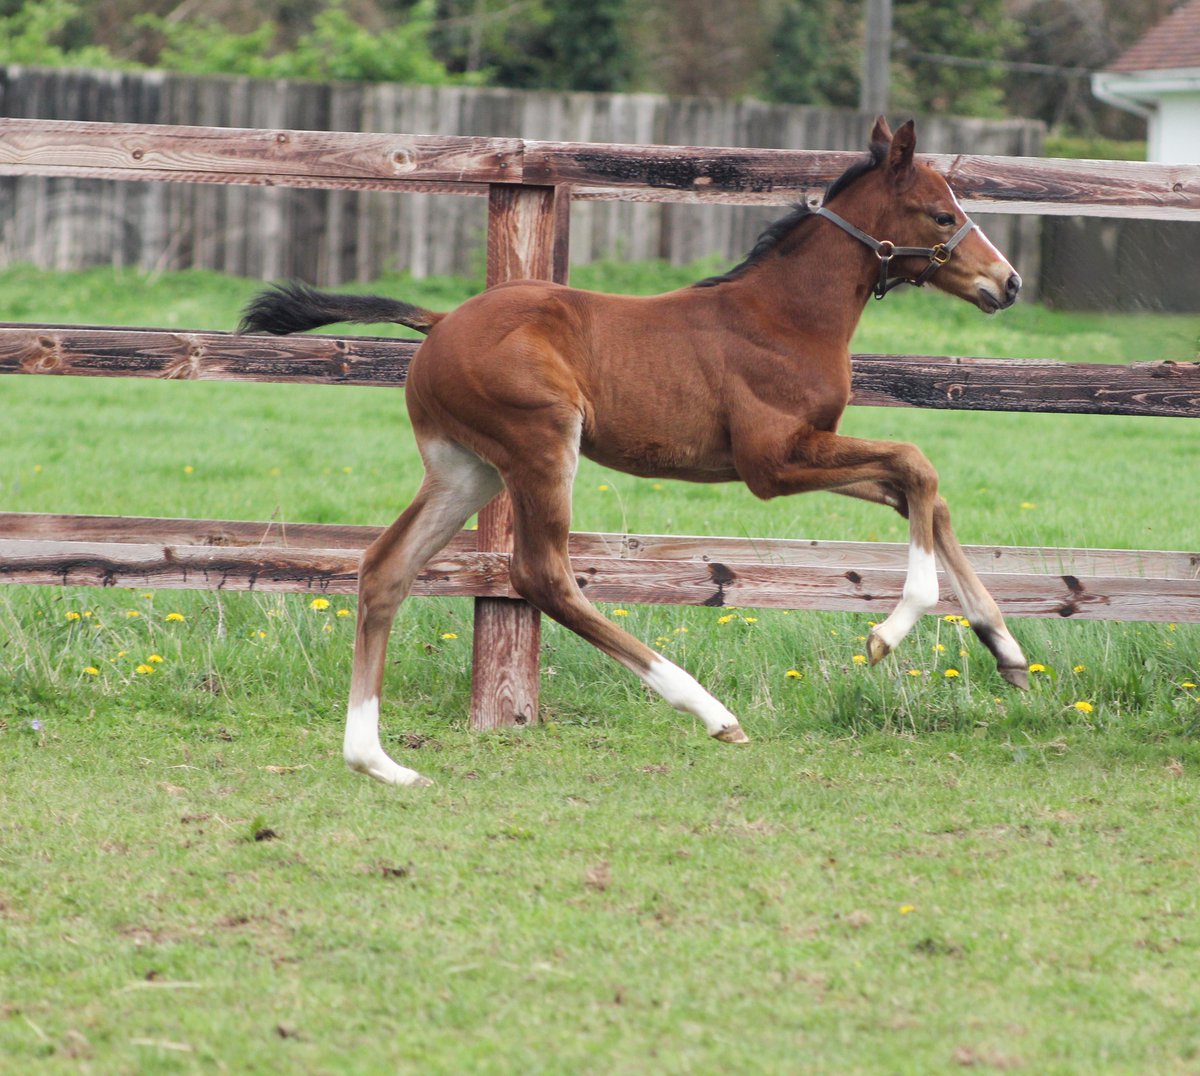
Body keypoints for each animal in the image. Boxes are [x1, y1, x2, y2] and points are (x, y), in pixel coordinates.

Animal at [243, 119, 1032, 786]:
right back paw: (710, 711)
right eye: (940, 214)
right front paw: (887, 635)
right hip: (540, 445)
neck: (786, 316)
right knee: (540, 575)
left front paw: (1008, 650)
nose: (1009, 282)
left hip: (465, 469)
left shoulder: (805, 452)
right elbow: (916, 463)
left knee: (386, 569)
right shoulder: (772, 462)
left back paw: (377, 762)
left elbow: (923, 495)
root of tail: (439, 323)